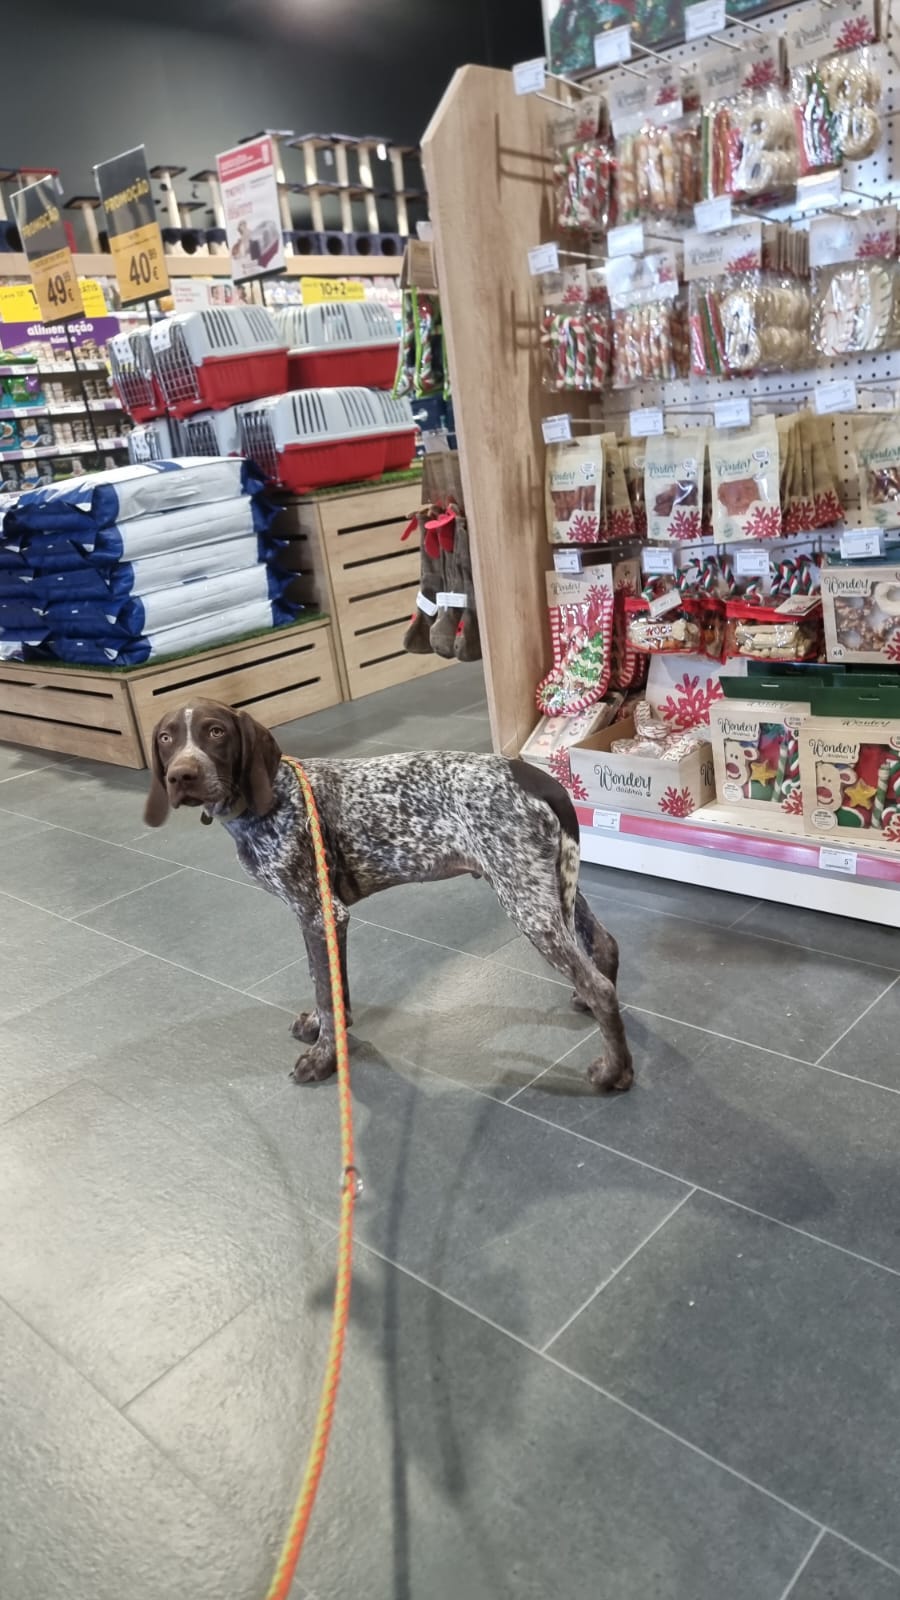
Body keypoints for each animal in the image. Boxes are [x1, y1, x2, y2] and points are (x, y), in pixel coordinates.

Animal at [143, 700, 633, 1093]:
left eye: (215, 731)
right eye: (166, 738)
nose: (182, 775)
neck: (272, 798)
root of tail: (531, 774)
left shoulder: (321, 913)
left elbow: (326, 989)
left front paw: (325, 1057)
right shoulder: (313, 916)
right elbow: (323, 979)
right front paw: (324, 1028)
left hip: (526, 902)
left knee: (600, 986)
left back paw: (615, 1072)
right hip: (545, 883)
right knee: (604, 944)